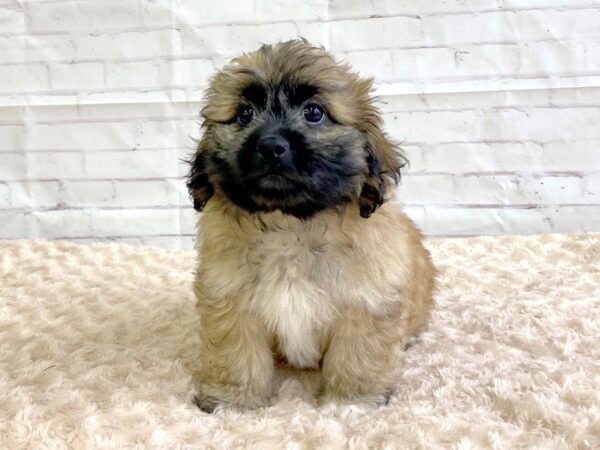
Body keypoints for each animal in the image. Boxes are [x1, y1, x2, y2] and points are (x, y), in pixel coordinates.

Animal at [185, 38, 434, 412]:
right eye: (244, 114)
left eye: (314, 113)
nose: (271, 146)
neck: (290, 225)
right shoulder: (231, 302)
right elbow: (237, 356)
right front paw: (234, 402)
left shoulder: (366, 302)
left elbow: (357, 357)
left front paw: (351, 402)